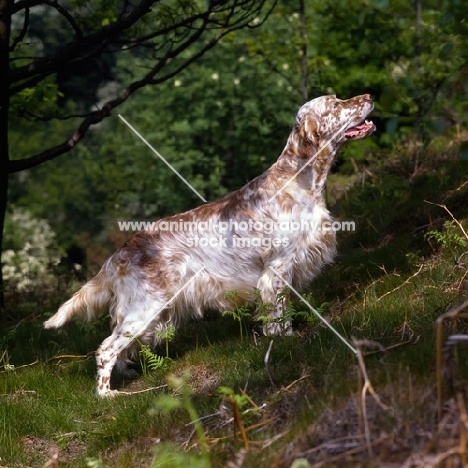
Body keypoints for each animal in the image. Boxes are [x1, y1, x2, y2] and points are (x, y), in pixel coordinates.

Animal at [44, 94, 376, 394]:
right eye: (335, 104)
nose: (369, 96)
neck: (298, 181)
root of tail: (120, 253)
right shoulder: (277, 270)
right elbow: (278, 318)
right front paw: (285, 342)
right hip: (145, 307)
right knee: (106, 349)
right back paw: (106, 395)